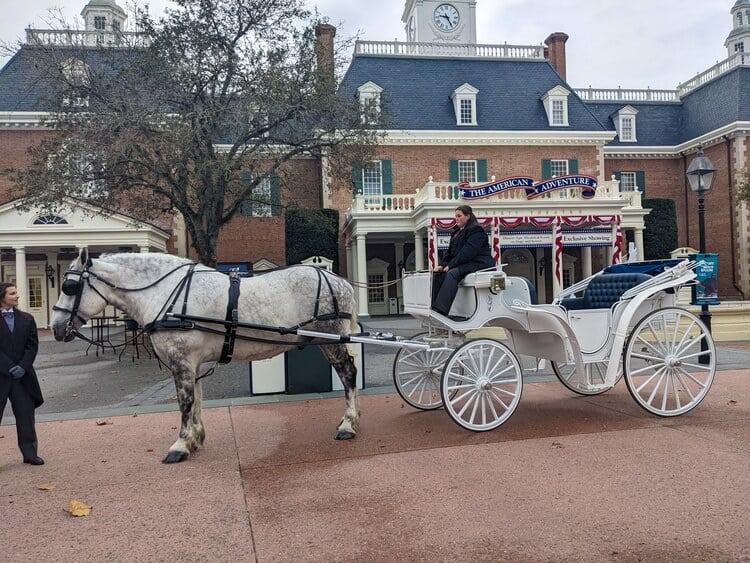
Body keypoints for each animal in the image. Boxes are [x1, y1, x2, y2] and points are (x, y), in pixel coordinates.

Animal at [50, 250, 362, 462]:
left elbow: (185, 402)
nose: (55, 327)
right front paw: (196, 439)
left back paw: (348, 424)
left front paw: (180, 445)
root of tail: (338, 280)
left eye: (69, 287)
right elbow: (197, 399)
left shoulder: (180, 360)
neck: (166, 292)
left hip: (330, 341)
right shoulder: (192, 363)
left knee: (348, 374)